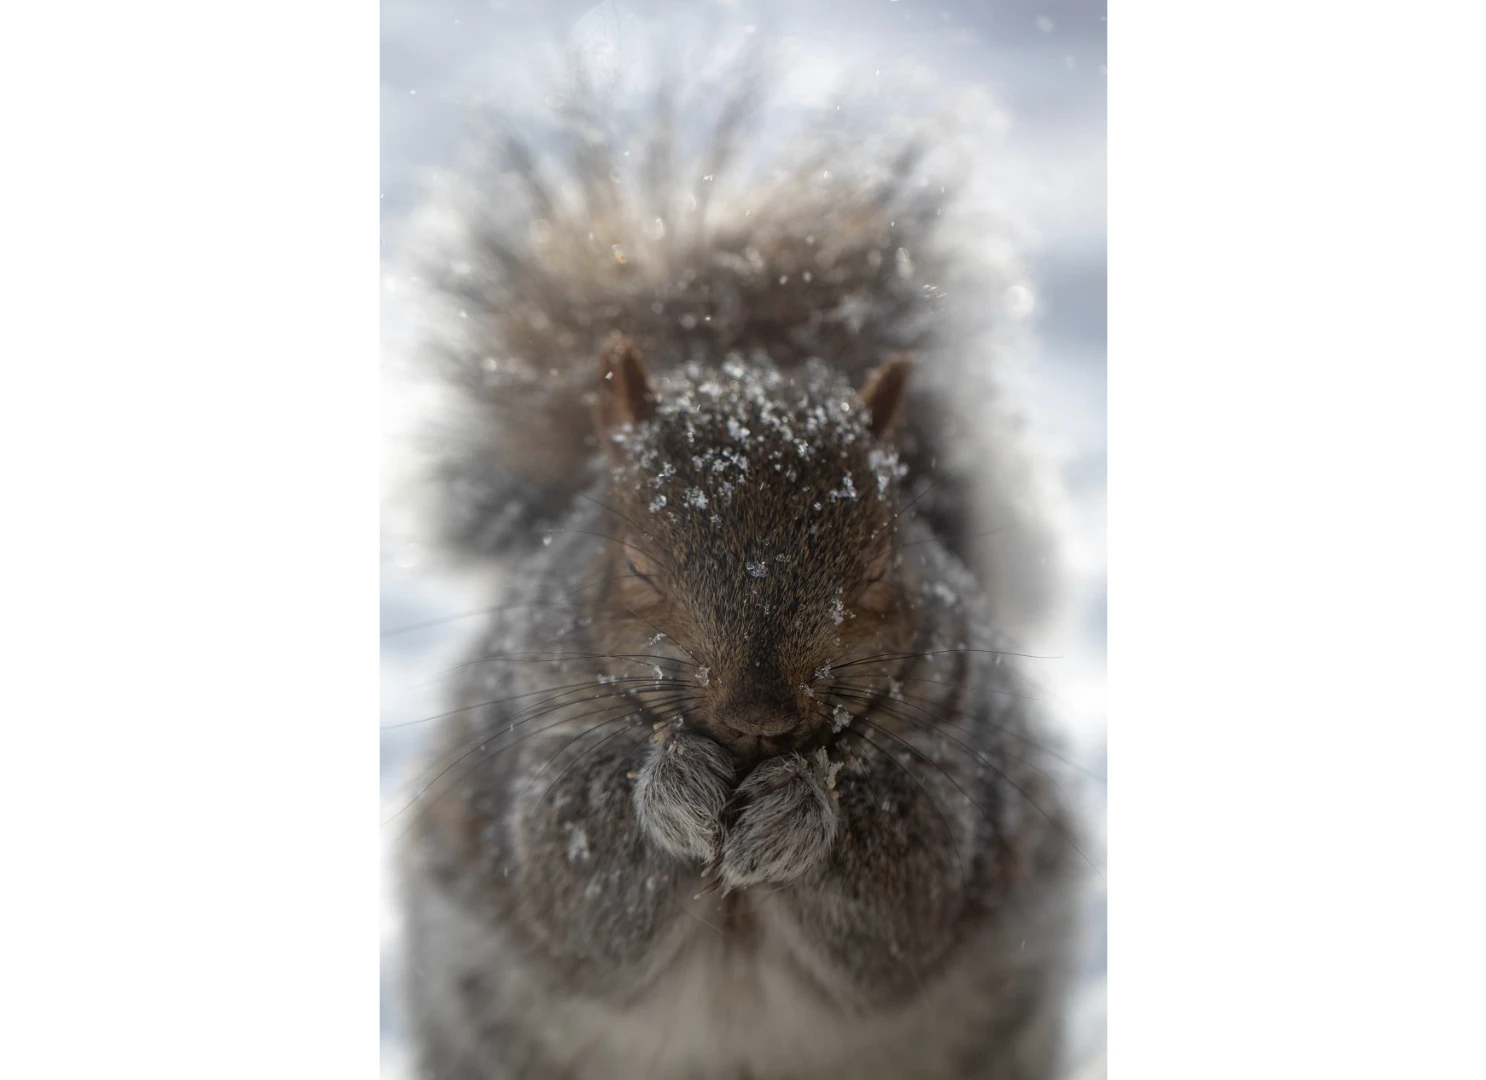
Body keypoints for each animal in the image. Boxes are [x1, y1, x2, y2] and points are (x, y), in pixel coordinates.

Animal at [393, 65, 1084, 1080]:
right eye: (635, 564)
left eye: (881, 566)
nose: (758, 717)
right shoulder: (529, 740)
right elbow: (573, 870)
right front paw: (674, 789)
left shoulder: (959, 760)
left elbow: (911, 884)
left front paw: (797, 812)